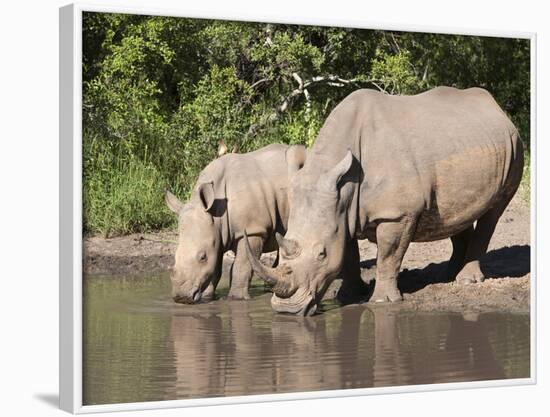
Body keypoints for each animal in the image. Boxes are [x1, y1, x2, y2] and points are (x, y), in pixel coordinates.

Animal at [166, 143, 308, 302]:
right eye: (175, 256)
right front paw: (208, 297)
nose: (181, 297)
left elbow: (241, 265)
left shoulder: (253, 230)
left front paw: (236, 298)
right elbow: (215, 268)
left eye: (203, 257)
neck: (216, 213)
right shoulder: (216, 232)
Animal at [246, 87, 528, 316]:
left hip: (515, 146)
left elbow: (389, 255)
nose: (286, 310)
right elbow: (349, 254)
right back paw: (447, 276)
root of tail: (497, 108)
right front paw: (348, 296)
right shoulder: (342, 211)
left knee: (493, 213)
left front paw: (382, 301)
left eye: (321, 254)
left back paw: (467, 281)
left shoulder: (397, 213)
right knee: (459, 212)